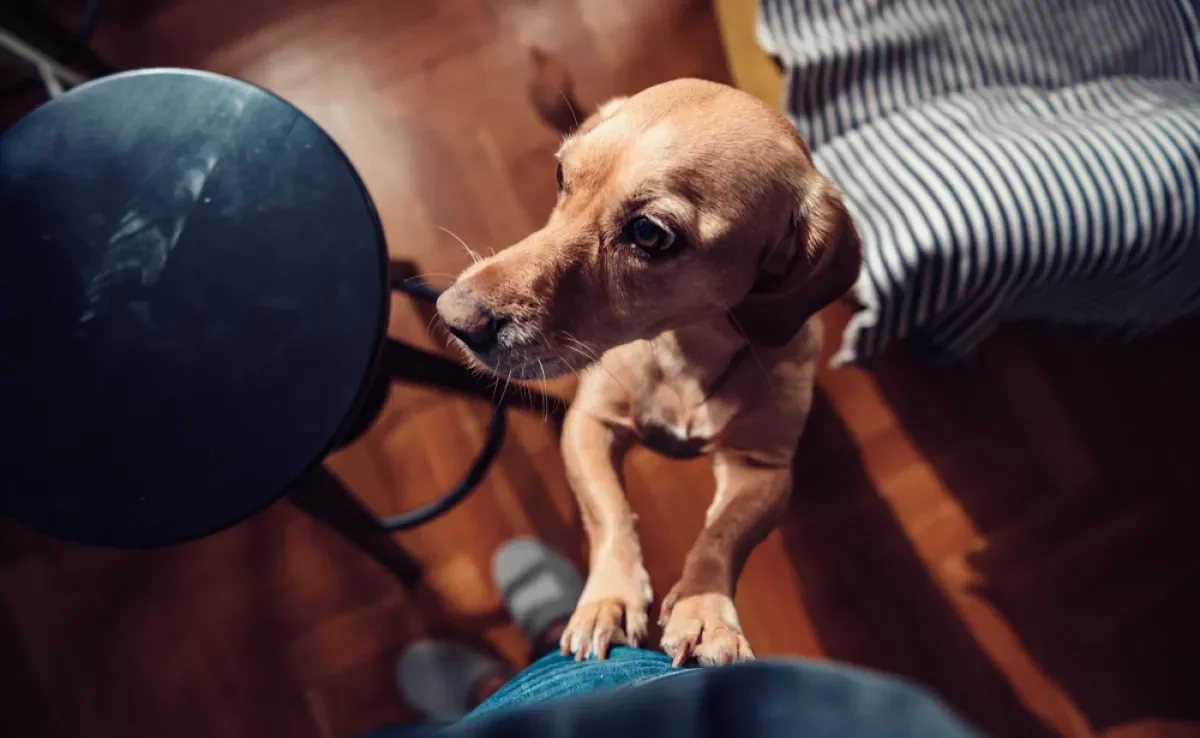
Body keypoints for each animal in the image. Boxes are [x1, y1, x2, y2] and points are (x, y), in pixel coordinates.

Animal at [436, 76, 859, 672]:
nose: (453, 317)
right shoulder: (587, 426)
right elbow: (612, 515)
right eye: (561, 177)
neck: (685, 354)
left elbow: (721, 534)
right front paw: (609, 600)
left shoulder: (763, 469)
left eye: (649, 234)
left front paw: (706, 613)